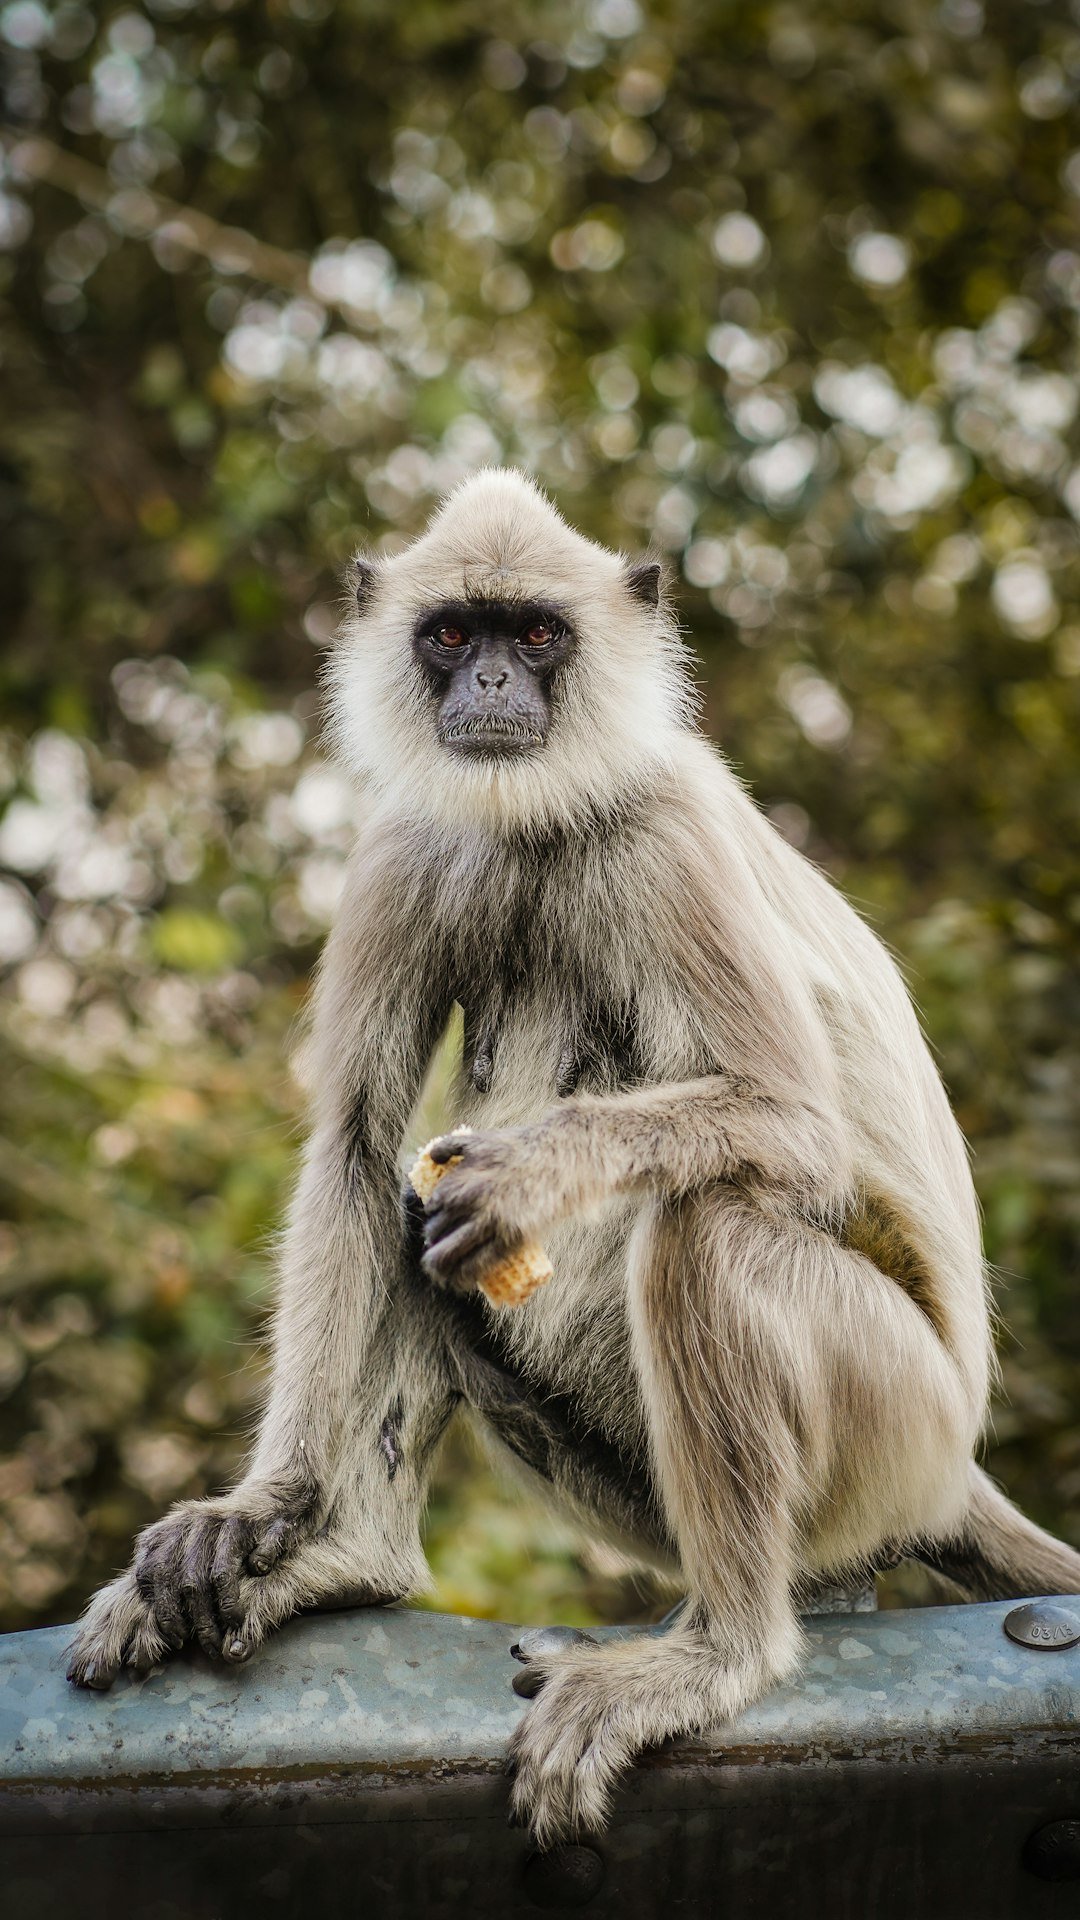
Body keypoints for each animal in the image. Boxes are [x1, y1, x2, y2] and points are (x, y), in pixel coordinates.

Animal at [67, 468, 1080, 1847]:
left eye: (536, 634)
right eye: (455, 633)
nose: (493, 682)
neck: (538, 817)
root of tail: (953, 1469)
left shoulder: (665, 831)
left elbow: (794, 1128)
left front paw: (533, 1175)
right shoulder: (404, 842)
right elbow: (352, 1155)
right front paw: (263, 1508)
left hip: (895, 1430)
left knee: (704, 1225)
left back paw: (724, 1653)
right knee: (413, 1223)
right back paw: (350, 1558)